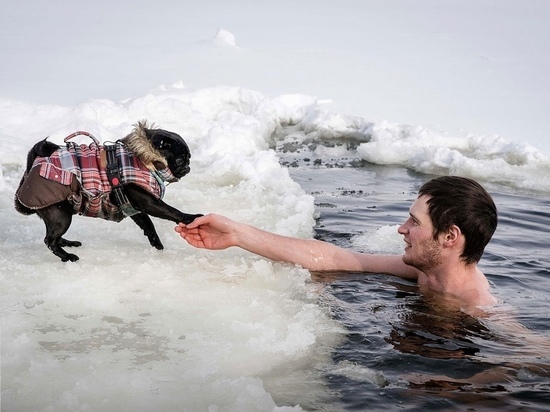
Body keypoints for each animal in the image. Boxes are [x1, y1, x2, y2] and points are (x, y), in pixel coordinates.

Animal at [15, 120, 203, 260]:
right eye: (180, 160)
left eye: (189, 158)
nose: (188, 167)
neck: (144, 158)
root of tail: (32, 167)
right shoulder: (149, 202)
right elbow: (172, 211)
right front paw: (191, 218)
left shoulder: (133, 207)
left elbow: (148, 225)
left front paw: (157, 245)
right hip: (61, 214)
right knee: (50, 240)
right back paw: (67, 256)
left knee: (54, 237)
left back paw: (68, 243)